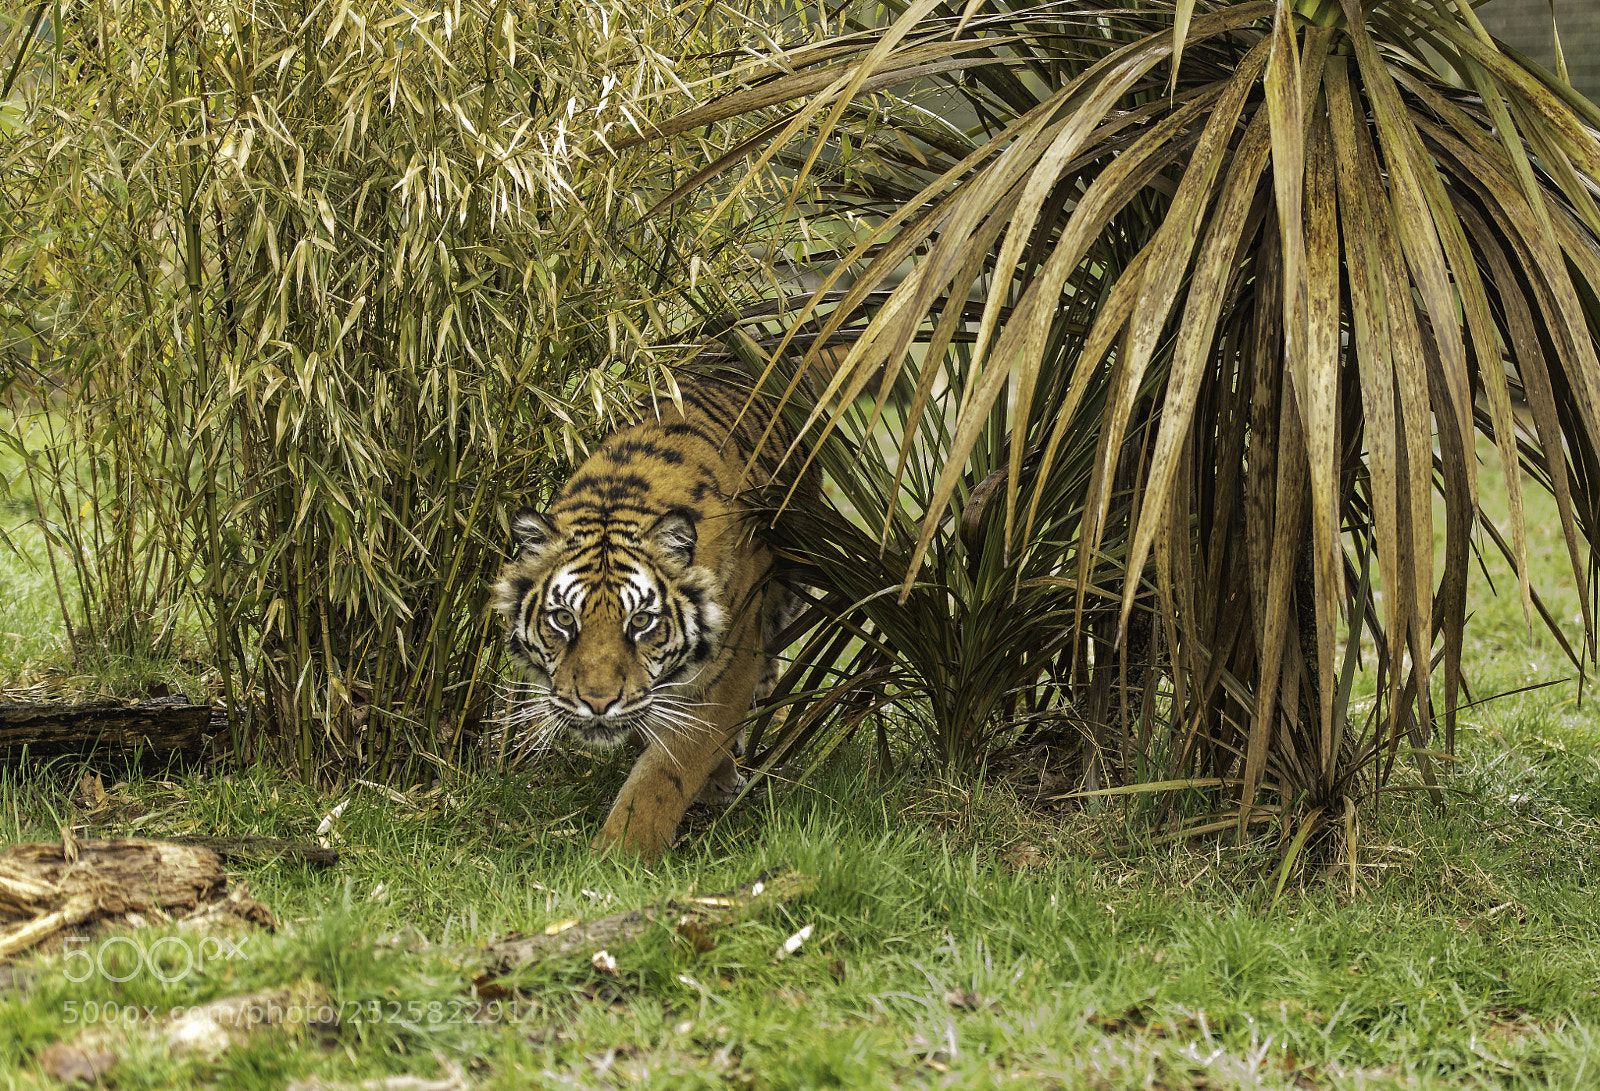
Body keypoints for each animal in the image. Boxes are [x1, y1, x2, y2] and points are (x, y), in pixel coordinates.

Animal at [492, 376, 813, 859]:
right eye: (564, 620)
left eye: (641, 621)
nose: (597, 703)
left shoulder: (726, 673)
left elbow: (665, 774)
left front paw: (618, 858)